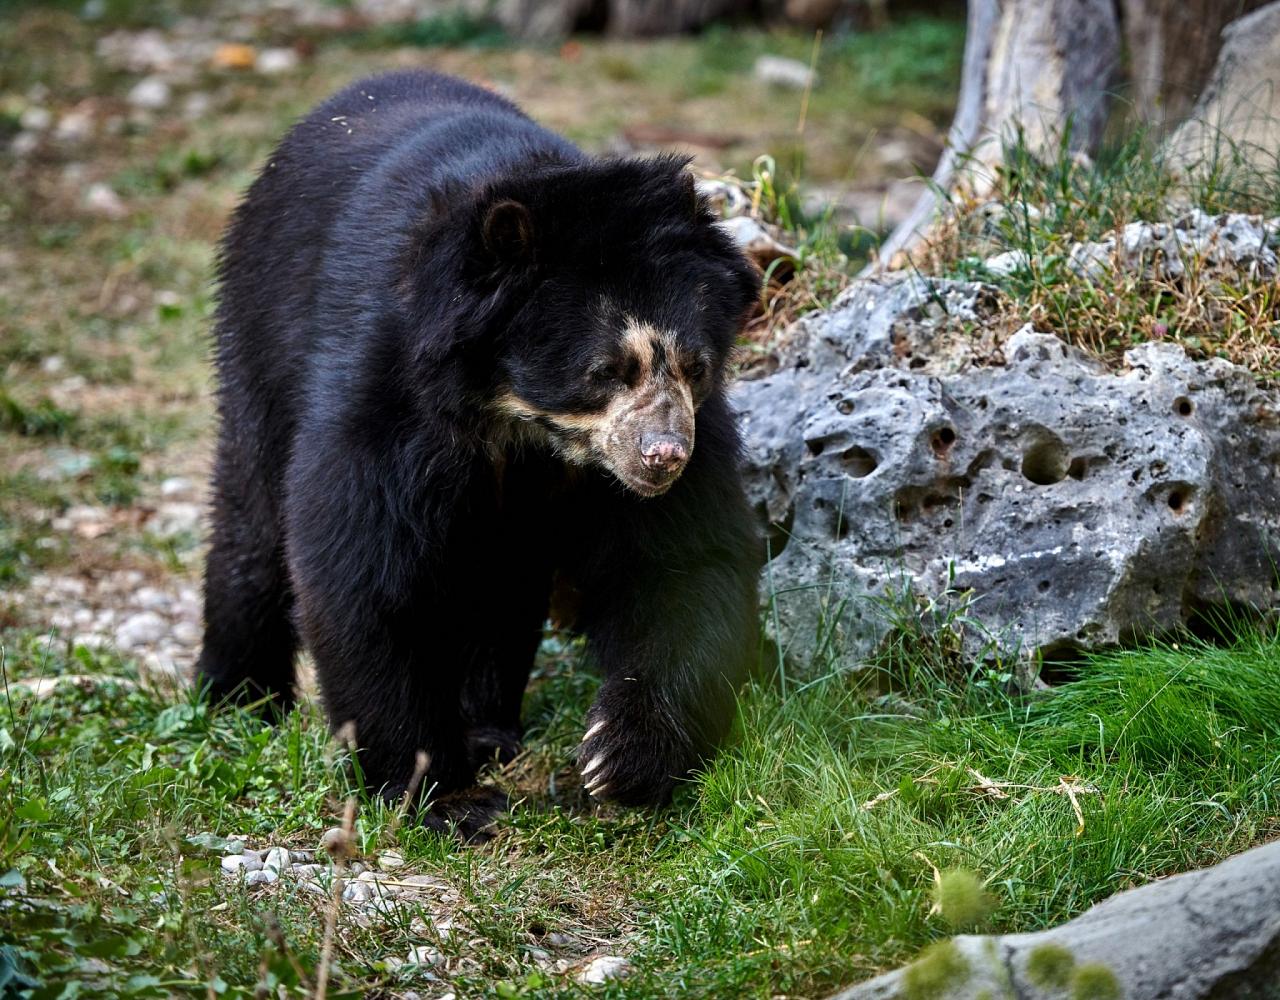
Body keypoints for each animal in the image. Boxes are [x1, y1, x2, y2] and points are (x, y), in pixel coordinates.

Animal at [197, 66, 757, 824]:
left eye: (694, 366)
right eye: (605, 370)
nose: (663, 456)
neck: (517, 419)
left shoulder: (657, 453)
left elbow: (684, 561)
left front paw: (616, 757)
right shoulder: (388, 390)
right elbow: (364, 568)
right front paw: (439, 791)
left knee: (499, 579)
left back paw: (490, 725)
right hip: (259, 328)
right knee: (251, 517)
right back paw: (238, 701)